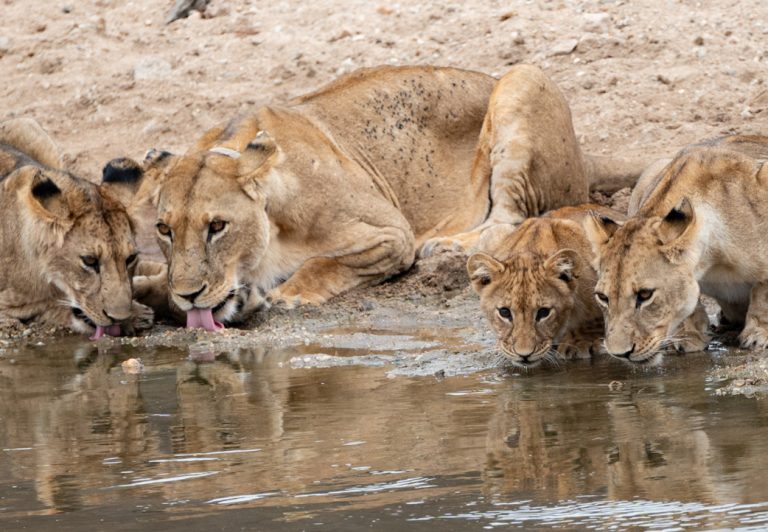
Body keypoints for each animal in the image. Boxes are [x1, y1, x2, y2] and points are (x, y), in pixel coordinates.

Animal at [111, 65, 647, 330]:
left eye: (217, 226)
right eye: (164, 230)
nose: (189, 293)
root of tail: (583, 153)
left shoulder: (391, 236)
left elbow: (325, 263)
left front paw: (289, 292)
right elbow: (147, 282)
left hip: (522, 82)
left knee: (508, 220)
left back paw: (448, 246)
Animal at [584, 135, 768, 365]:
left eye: (645, 294)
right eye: (602, 297)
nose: (620, 354)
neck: (711, 259)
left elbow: (763, 291)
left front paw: (758, 334)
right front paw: (689, 336)